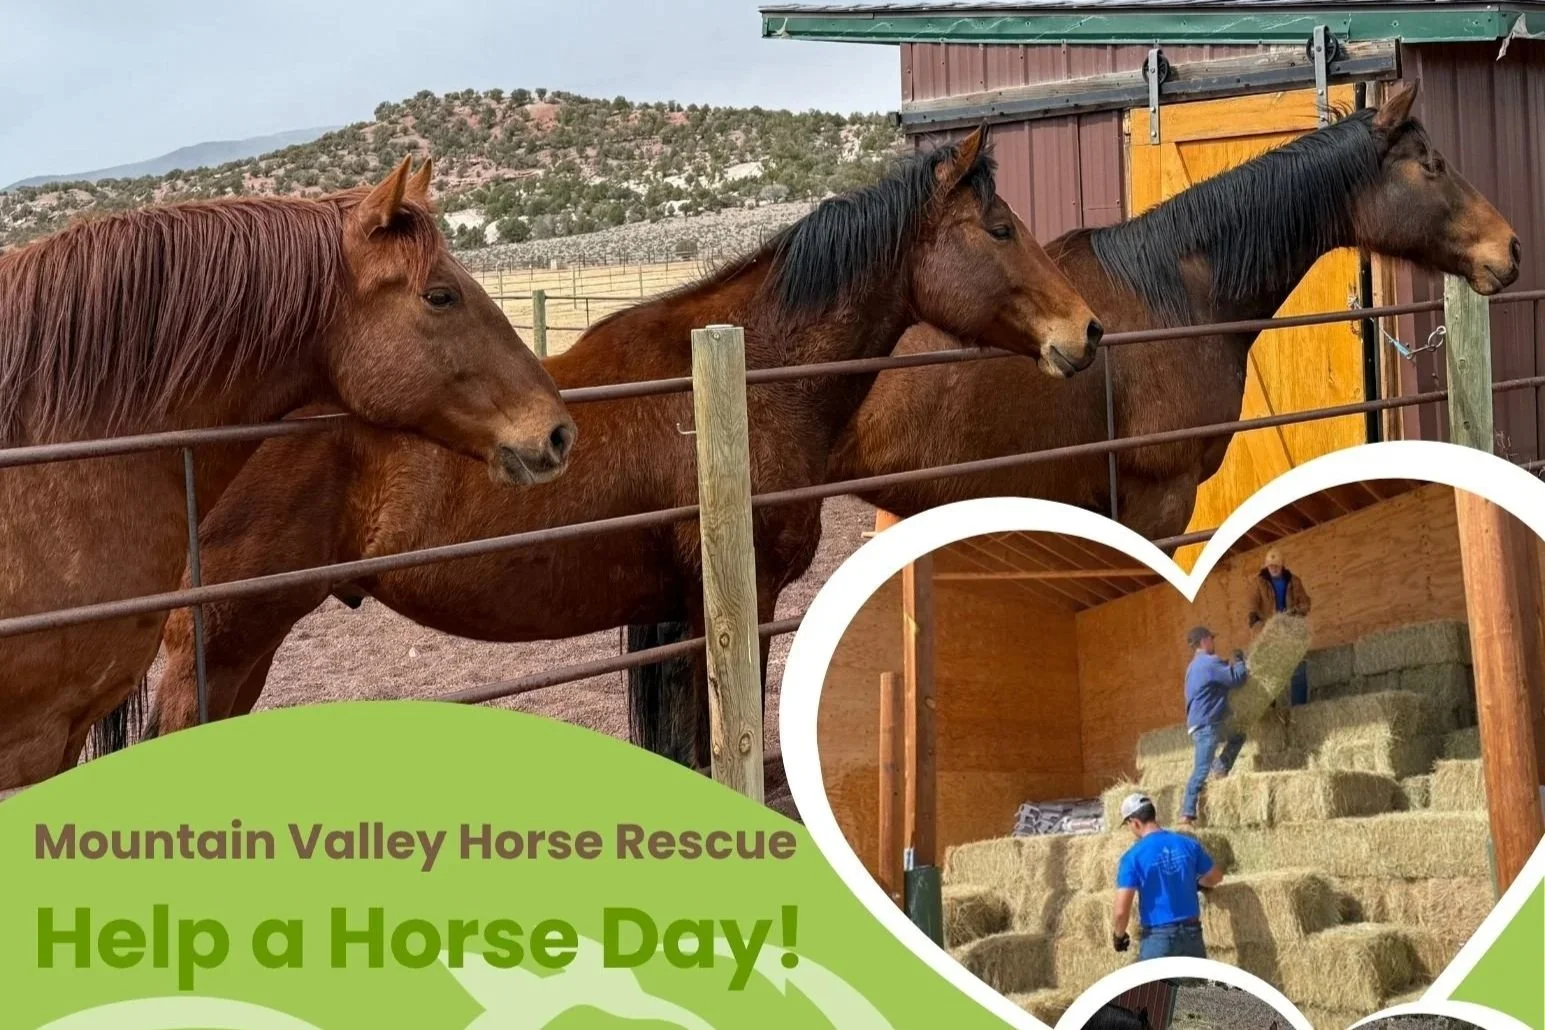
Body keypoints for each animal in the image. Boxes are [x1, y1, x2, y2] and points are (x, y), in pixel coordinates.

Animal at [123, 129, 1102, 766]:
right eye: (1001, 229)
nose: (1085, 333)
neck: (745, 377)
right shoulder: (735, 604)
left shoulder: (672, 612)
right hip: (223, 643)